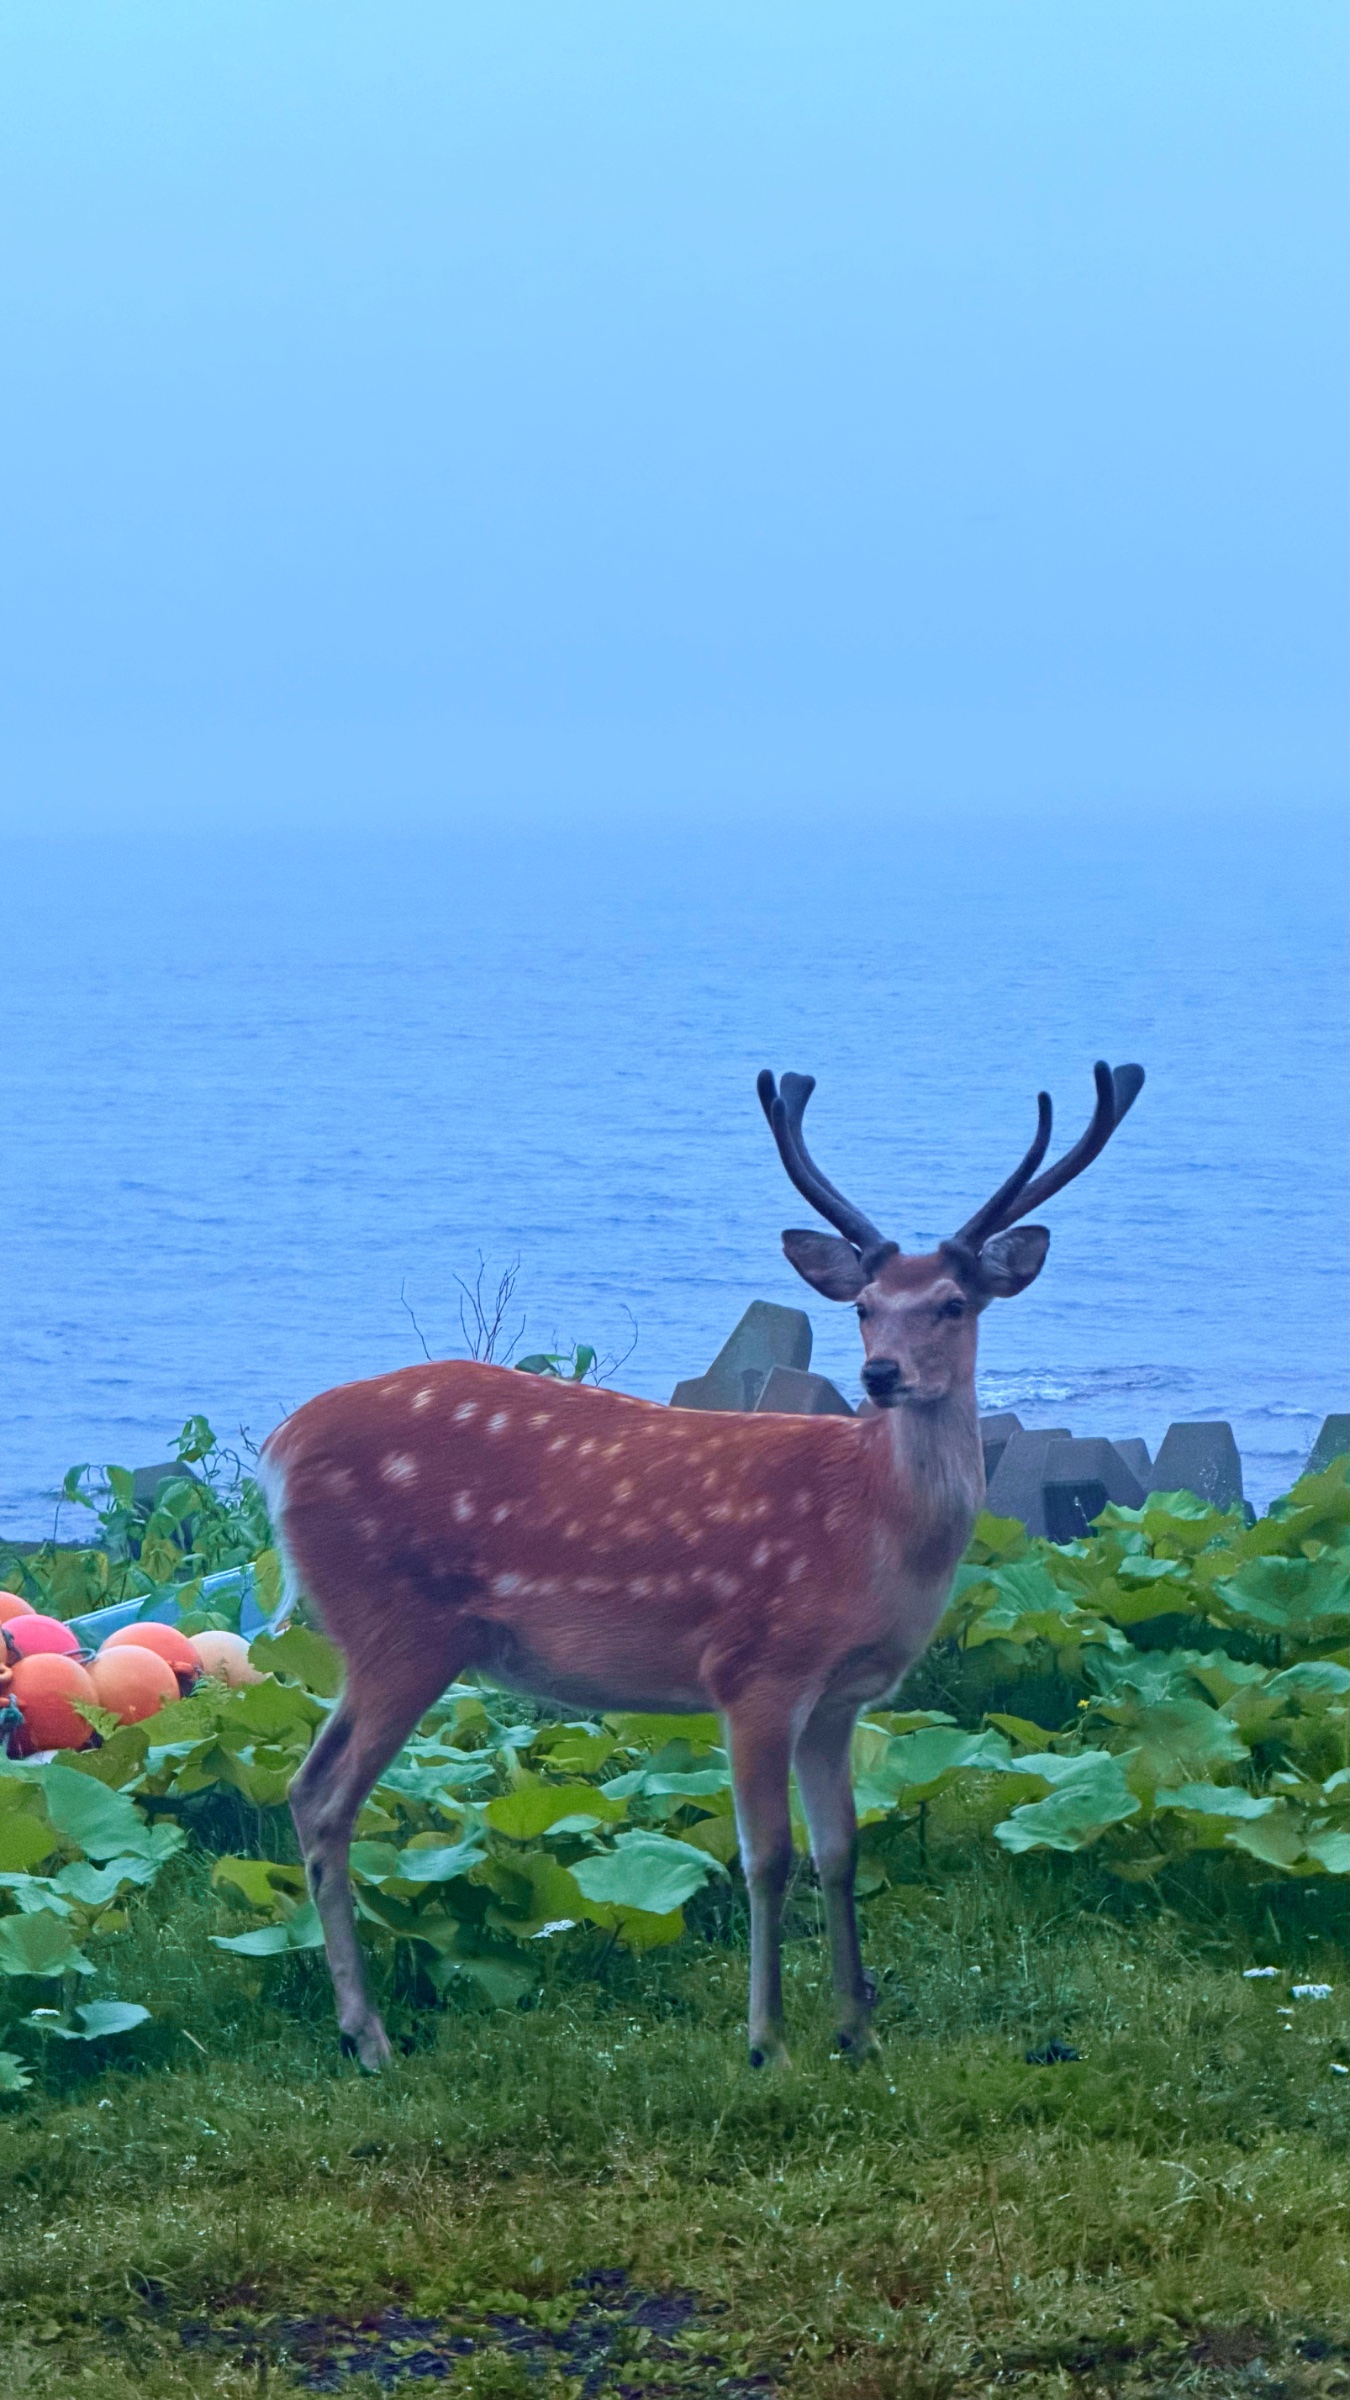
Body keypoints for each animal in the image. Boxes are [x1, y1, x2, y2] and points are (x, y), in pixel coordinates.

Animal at [261, 1058, 1144, 2072]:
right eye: (863, 1308)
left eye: (953, 1305)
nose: (880, 1375)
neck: (870, 1535)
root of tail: (279, 1450)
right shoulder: (756, 1669)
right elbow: (767, 1856)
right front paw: (767, 2042)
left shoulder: (840, 1699)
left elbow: (842, 1850)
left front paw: (858, 2030)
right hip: (399, 1626)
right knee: (327, 1800)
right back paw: (367, 2035)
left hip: (380, 1638)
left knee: (306, 1787)